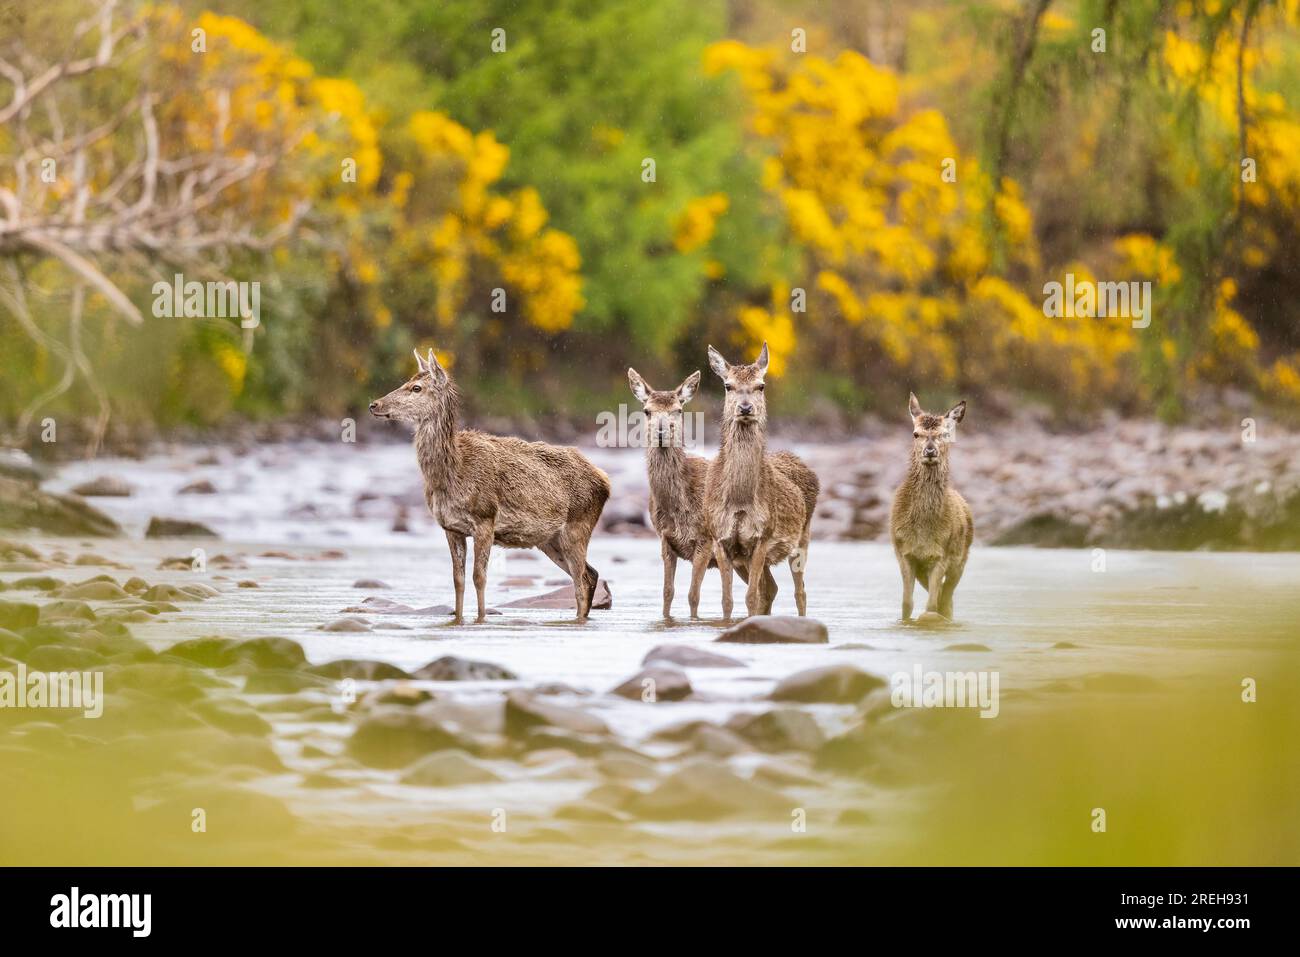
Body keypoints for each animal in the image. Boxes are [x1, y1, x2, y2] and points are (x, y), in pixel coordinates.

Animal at [366, 348, 608, 621]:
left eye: (416, 388)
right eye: (405, 382)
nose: (374, 404)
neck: (451, 474)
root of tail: (605, 481)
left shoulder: (485, 520)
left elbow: (479, 577)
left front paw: (481, 618)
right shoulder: (451, 527)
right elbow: (458, 579)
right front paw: (458, 618)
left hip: (578, 526)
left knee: (580, 581)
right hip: (549, 540)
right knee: (591, 574)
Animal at [629, 366, 733, 621]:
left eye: (677, 409)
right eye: (647, 411)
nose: (661, 433)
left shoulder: (705, 540)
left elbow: (693, 595)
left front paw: (694, 621)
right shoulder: (666, 540)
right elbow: (668, 593)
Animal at [707, 343, 816, 621]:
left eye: (761, 385)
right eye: (728, 385)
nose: (745, 408)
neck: (739, 500)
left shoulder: (761, 538)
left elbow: (751, 597)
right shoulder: (720, 540)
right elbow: (727, 600)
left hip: (803, 537)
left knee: (800, 591)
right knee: (772, 588)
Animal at [889, 392, 972, 624]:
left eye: (945, 434)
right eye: (915, 433)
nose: (930, 451)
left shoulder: (941, 555)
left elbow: (932, 606)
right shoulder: (904, 553)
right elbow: (907, 603)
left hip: (961, 559)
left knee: (946, 597)